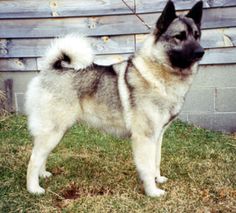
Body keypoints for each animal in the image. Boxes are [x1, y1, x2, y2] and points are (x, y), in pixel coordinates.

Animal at [24, 0, 204, 196]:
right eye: (179, 36)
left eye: (197, 35)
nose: (201, 52)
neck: (159, 73)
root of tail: (51, 69)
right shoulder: (145, 137)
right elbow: (148, 167)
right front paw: (152, 191)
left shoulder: (158, 135)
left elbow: (156, 161)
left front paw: (158, 179)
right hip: (53, 130)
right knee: (33, 159)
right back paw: (34, 188)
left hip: (56, 131)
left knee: (41, 155)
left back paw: (43, 175)